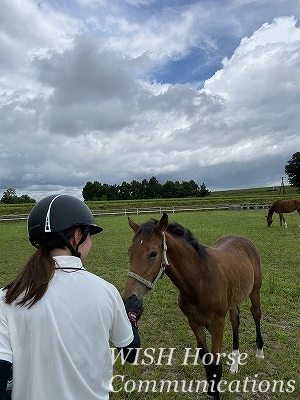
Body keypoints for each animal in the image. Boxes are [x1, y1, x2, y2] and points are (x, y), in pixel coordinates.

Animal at [123, 212, 264, 396]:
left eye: (153, 253)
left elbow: (216, 365)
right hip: (234, 298)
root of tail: (242, 238)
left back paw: (260, 352)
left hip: (255, 292)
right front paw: (211, 391)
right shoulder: (193, 321)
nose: (128, 298)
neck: (200, 279)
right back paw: (235, 364)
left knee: (256, 314)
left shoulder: (217, 324)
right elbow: (205, 359)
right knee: (235, 320)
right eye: (130, 252)